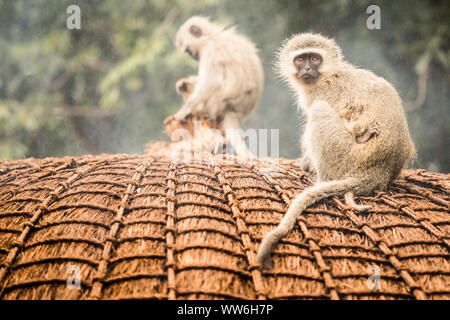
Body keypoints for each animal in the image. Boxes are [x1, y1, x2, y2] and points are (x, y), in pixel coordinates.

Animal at [173, 16, 264, 158]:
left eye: (188, 51)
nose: (194, 56)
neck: (212, 36)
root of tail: (235, 111)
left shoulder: (210, 50)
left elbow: (212, 81)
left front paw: (184, 110)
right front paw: (184, 83)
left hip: (216, 102)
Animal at [256, 32, 414, 268]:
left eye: (315, 59)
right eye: (300, 59)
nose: (307, 69)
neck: (328, 74)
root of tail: (380, 171)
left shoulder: (321, 93)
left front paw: (307, 163)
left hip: (344, 156)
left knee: (320, 111)